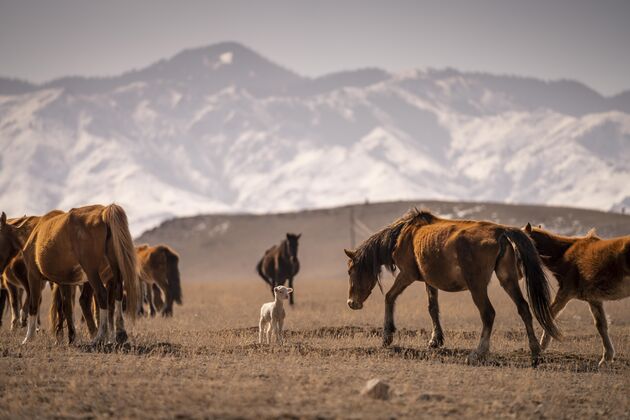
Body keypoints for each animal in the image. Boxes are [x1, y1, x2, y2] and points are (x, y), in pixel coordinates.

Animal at [0, 203, 139, 344]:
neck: (33, 232)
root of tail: (103, 212)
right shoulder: (64, 281)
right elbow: (66, 307)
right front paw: (70, 336)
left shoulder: (33, 276)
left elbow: (33, 304)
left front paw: (29, 337)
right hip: (114, 271)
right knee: (117, 293)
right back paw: (120, 334)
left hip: (92, 273)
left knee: (101, 295)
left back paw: (100, 336)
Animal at [346, 210, 564, 368]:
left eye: (350, 271)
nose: (351, 303)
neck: (405, 235)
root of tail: (501, 231)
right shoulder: (429, 281)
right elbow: (432, 308)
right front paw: (435, 340)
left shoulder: (407, 275)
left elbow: (390, 297)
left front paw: (387, 336)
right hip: (507, 279)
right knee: (524, 309)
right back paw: (535, 353)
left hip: (477, 286)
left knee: (488, 313)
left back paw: (478, 353)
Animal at [524, 225, 630, 366]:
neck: (564, 253)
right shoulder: (594, 299)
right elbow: (601, 324)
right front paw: (606, 358)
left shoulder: (565, 293)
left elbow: (549, 314)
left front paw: (540, 349)